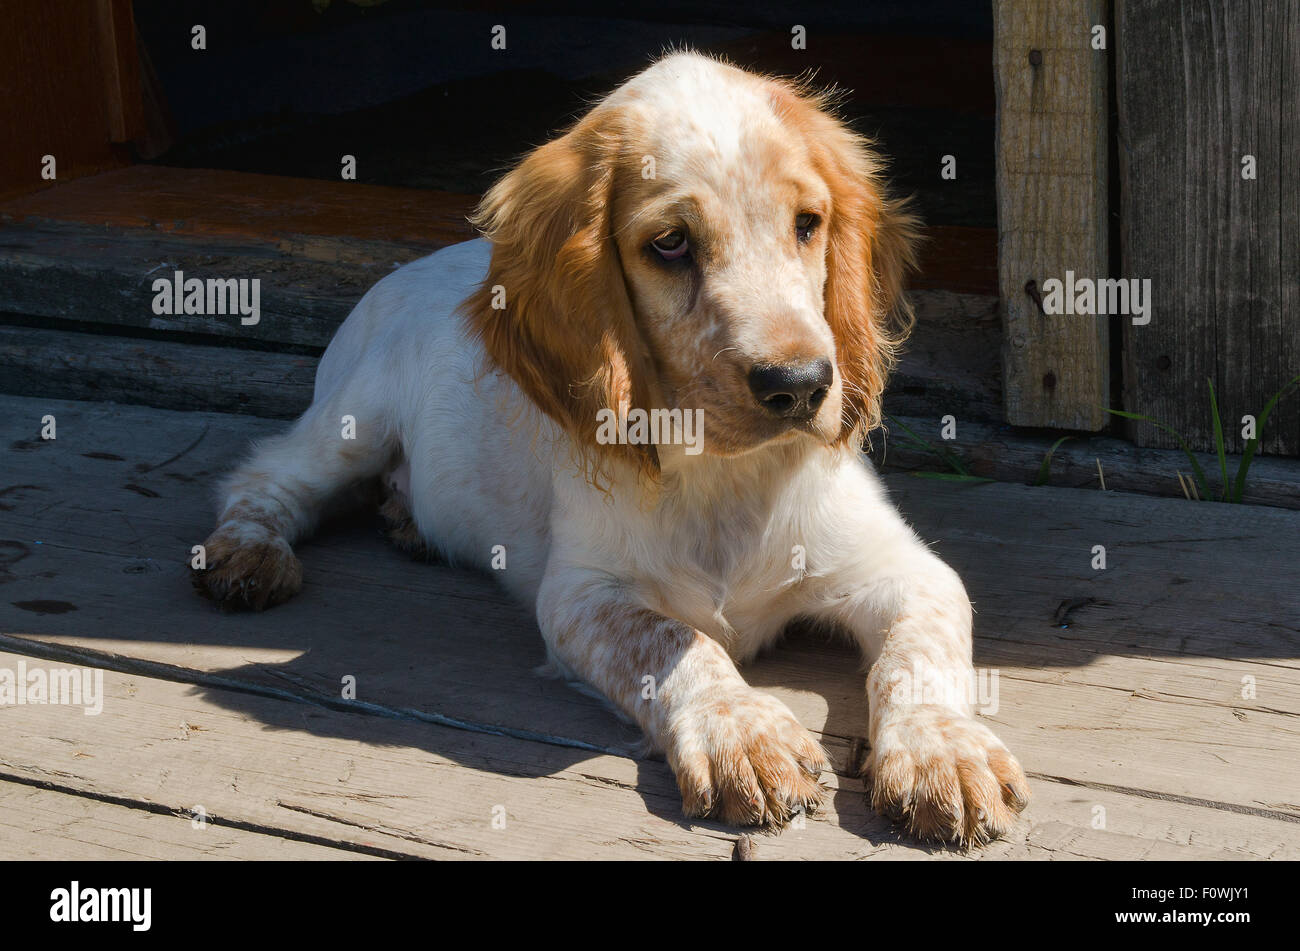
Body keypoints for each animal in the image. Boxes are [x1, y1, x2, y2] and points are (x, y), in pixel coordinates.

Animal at [195, 51, 1024, 841]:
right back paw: (248, 552)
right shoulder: (581, 594)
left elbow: (919, 654)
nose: (800, 385)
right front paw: (741, 734)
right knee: (265, 476)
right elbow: (674, 638)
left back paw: (406, 521)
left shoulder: (902, 568)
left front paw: (945, 752)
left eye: (807, 223)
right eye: (671, 244)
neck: (729, 481)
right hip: (353, 418)